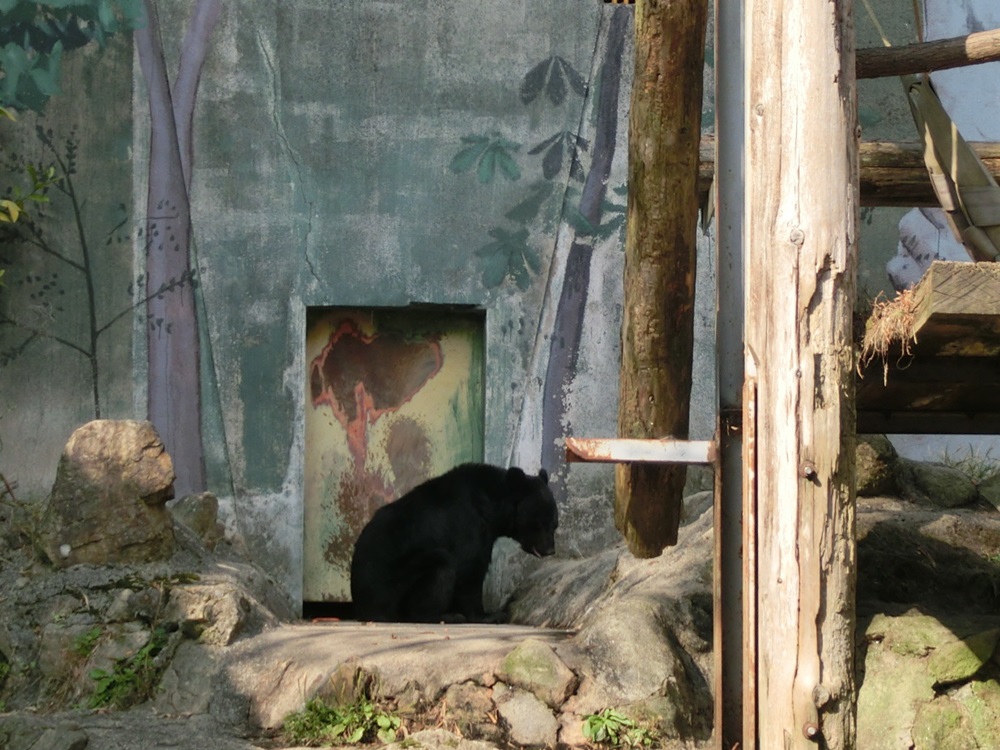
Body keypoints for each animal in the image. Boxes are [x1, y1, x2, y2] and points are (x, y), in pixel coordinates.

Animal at [350, 462, 556, 624]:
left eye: (555, 524)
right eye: (540, 524)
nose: (550, 550)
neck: (491, 506)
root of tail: (363, 607)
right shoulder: (469, 525)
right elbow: (470, 568)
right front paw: (489, 615)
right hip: (397, 584)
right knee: (441, 564)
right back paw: (445, 616)